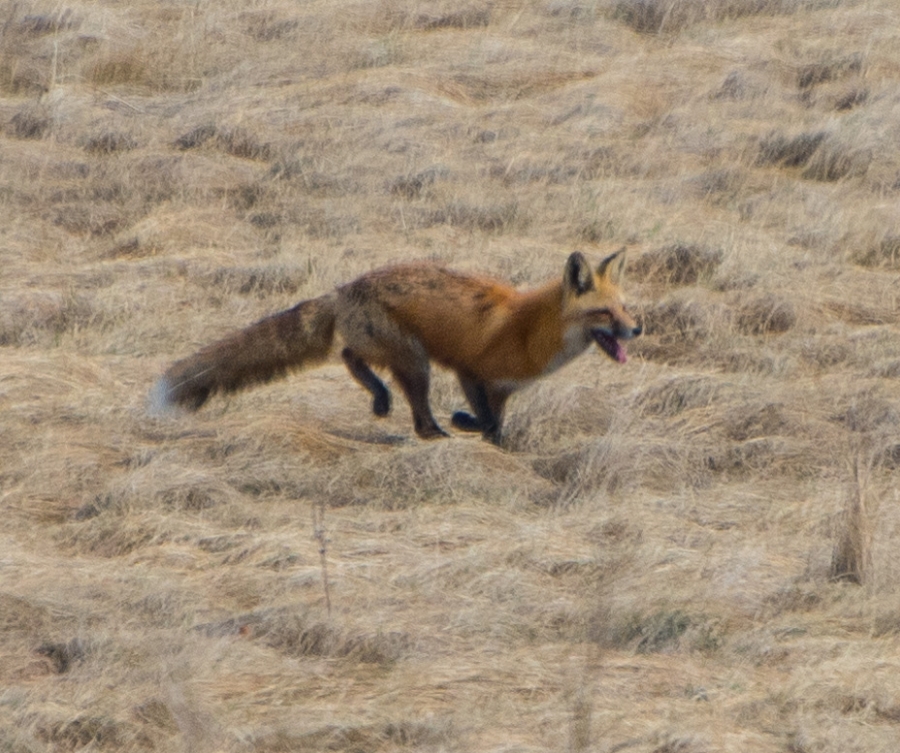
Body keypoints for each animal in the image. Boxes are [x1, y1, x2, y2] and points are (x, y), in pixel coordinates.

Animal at [150, 249, 641, 444]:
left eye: (625, 308)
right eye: (604, 314)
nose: (637, 330)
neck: (529, 330)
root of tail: (344, 288)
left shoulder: (501, 390)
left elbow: (496, 426)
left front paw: (495, 445)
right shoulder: (470, 371)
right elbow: (484, 422)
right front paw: (463, 423)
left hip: (397, 354)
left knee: (350, 356)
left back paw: (381, 398)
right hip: (415, 361)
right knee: (416, 416)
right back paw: (426, 426)